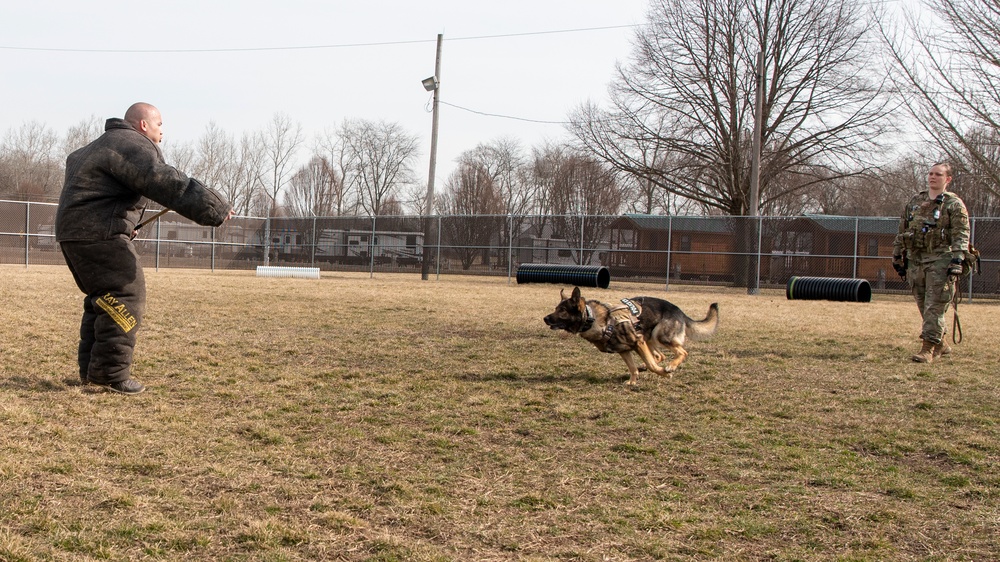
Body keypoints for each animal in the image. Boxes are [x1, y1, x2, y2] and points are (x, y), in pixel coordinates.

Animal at [548, 286, 720, 382]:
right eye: (556, 308)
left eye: (562, 311)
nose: (545, 318)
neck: (594, 319)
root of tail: (679, 311)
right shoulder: (624, 350)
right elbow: (632, 367)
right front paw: (632, 381)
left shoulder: (637, 342)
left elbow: (652, 365)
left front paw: (664, 373)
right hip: (648, 338)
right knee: (660, 355)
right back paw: (647, 366)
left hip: (660, 336)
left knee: (682, 352)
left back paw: (670, 367)